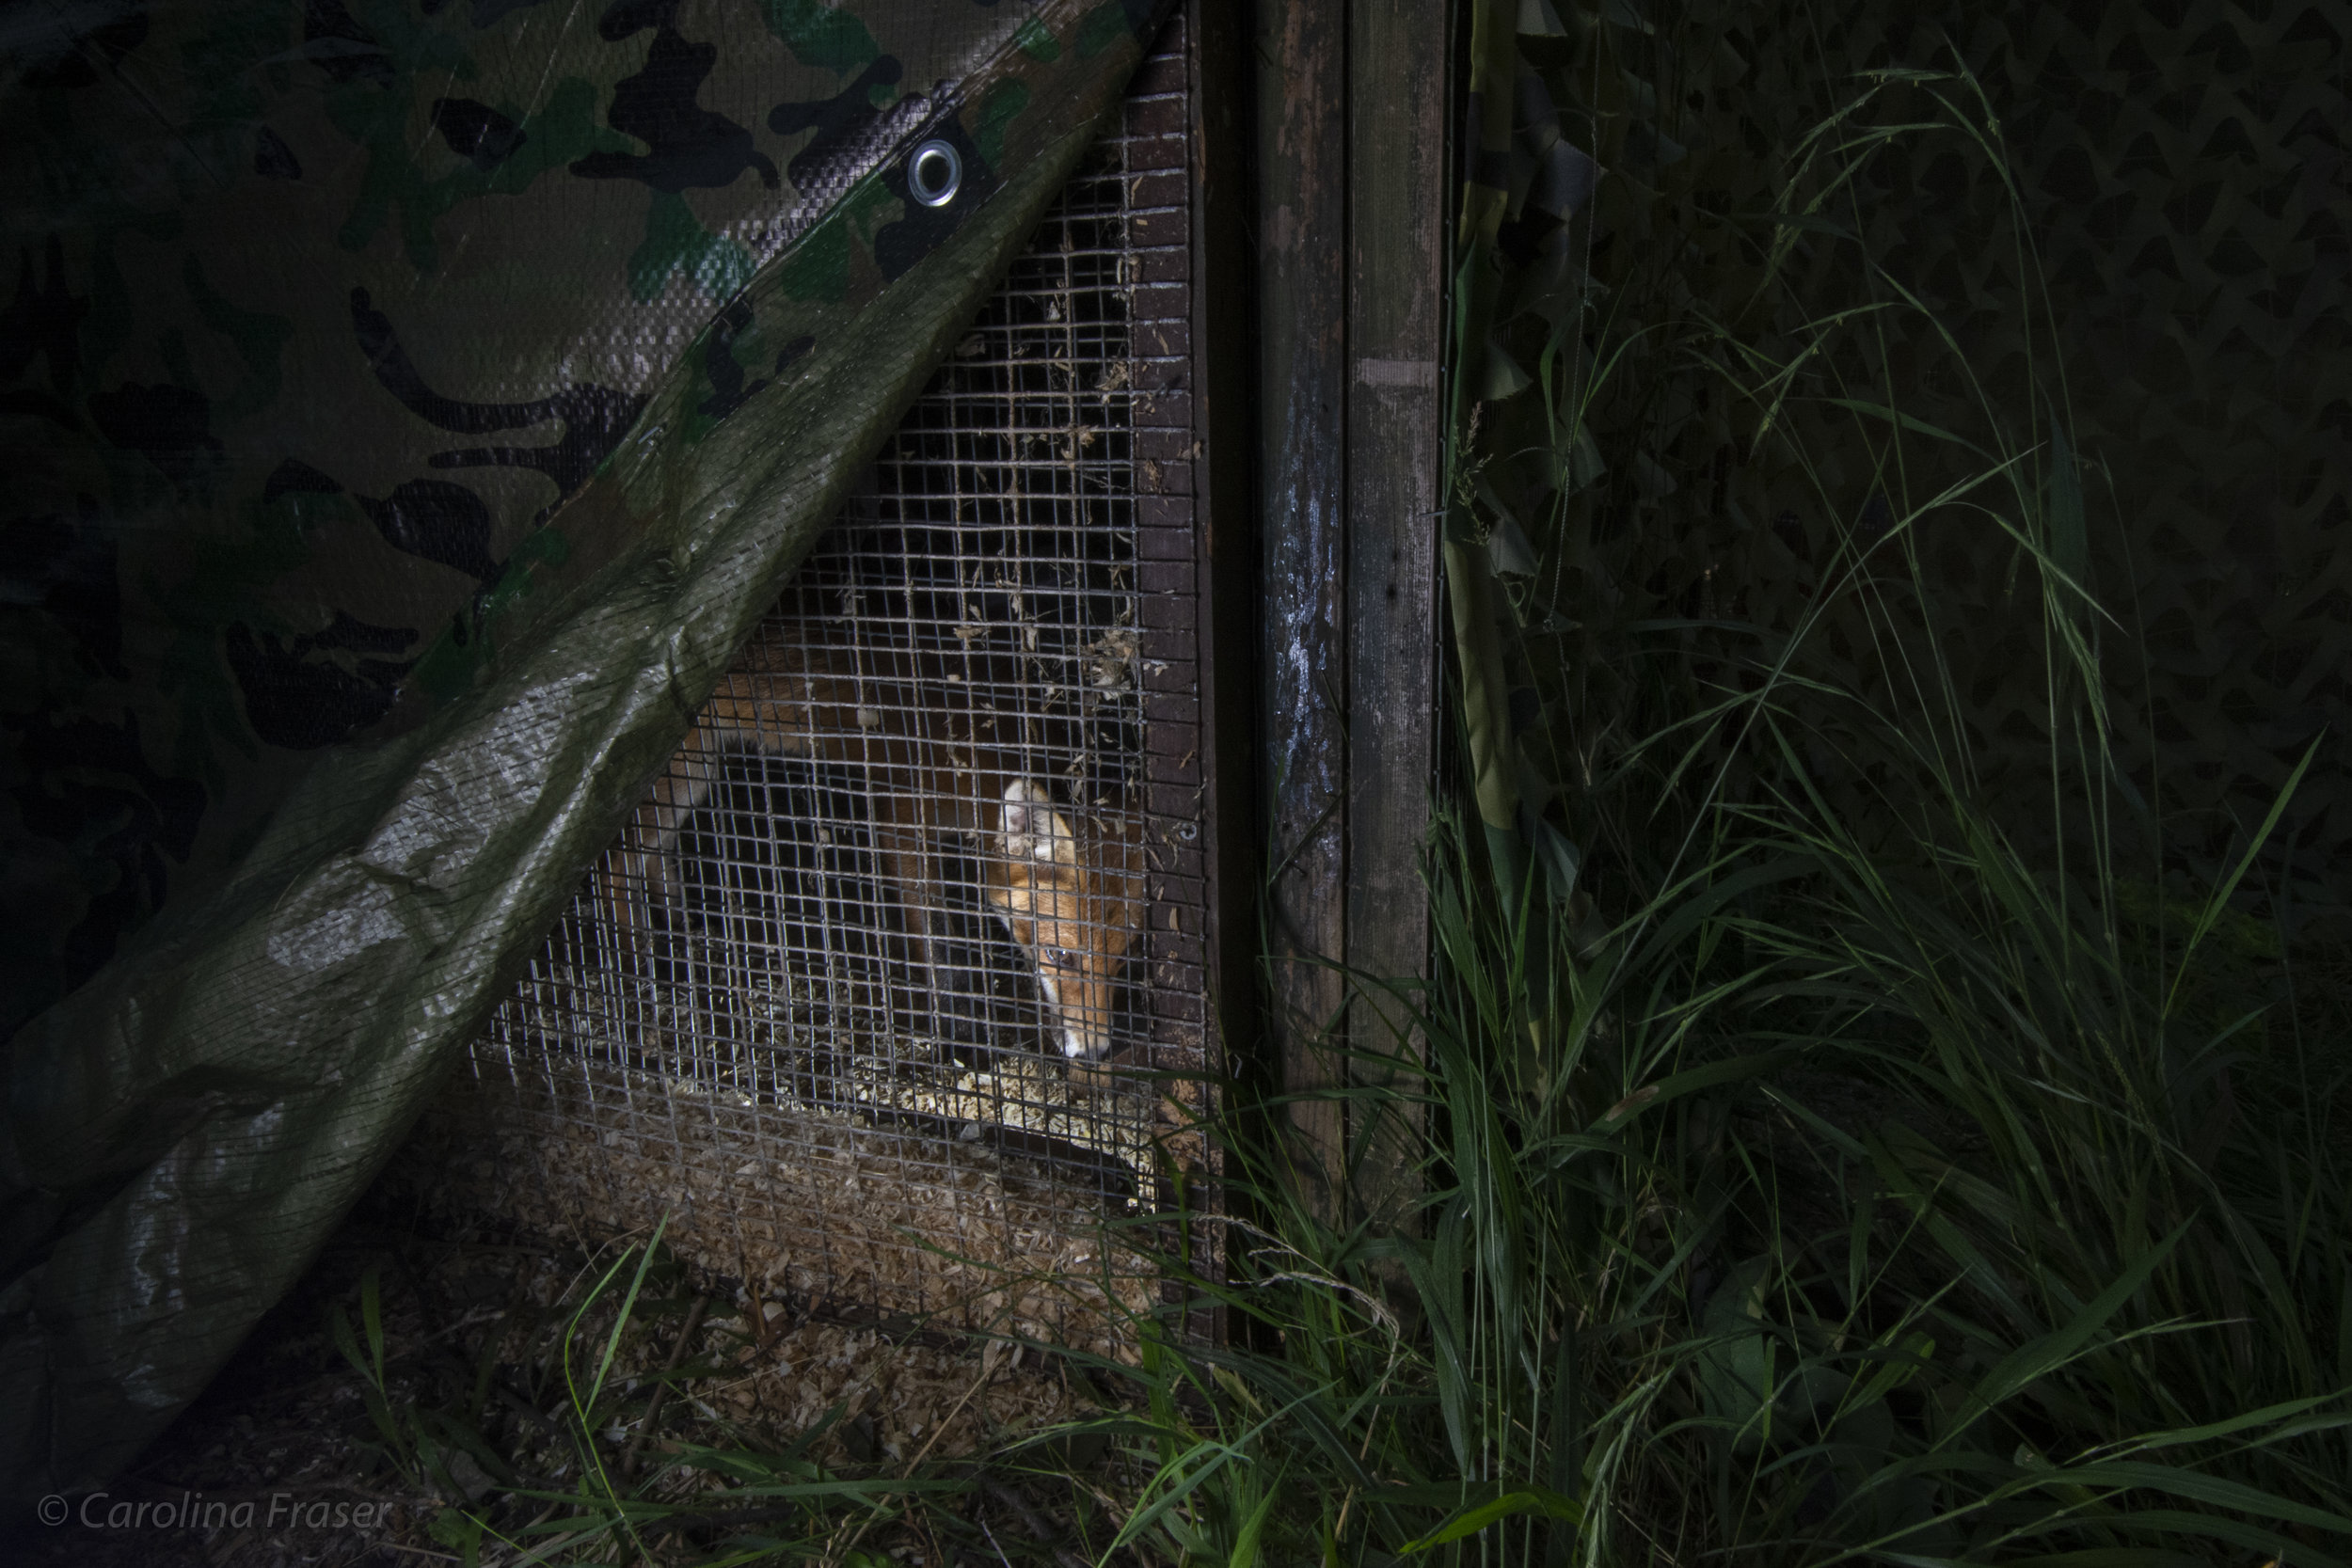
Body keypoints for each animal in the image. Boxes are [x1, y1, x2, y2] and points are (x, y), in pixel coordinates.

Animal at [602, 625, 1143, 1067]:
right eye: (1060, 956)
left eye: (1120, 959)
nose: (1096, 1052)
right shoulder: (900, 824)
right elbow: (940, 951)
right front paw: (962, 1034)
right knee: (618, 864)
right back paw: (636, 971)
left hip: (698, 770)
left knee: (655, 856)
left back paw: (678, 929)